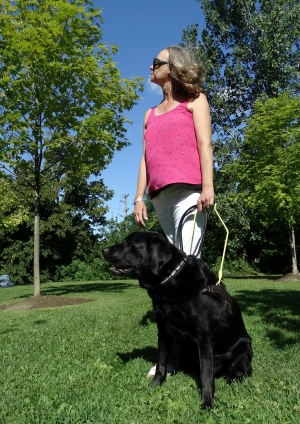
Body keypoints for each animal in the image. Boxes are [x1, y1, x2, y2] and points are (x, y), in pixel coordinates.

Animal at [102, 230, 252, 410]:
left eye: (129, 243)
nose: (103, 250)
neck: (170, 278)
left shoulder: (204, 338)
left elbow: (206, 376)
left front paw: (208, 403)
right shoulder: (164, 331)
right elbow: (161, 363)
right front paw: (155, 385)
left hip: (243, 348)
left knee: (241, 372)